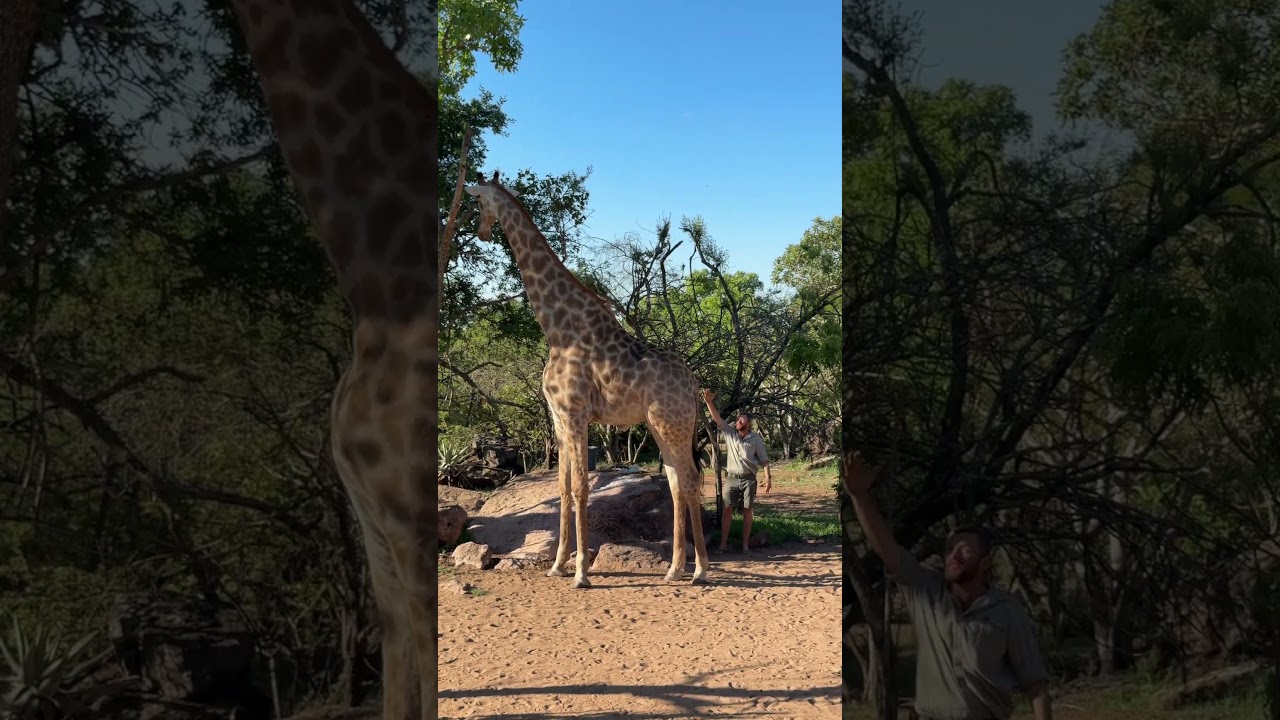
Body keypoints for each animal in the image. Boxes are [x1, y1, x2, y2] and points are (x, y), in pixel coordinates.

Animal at [464, 172, 711, 588]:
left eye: (478, 201)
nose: (480, 232)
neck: (558, 331)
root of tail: (693, 383)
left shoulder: (575, 413)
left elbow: (581, 486)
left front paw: (581, 572)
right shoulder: (559, 418)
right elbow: (563, 488)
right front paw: (557, 565)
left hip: (671, 423)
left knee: (691, 480)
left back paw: (700, 570)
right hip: (662, 425)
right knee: (678, 482)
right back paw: (676, 568)